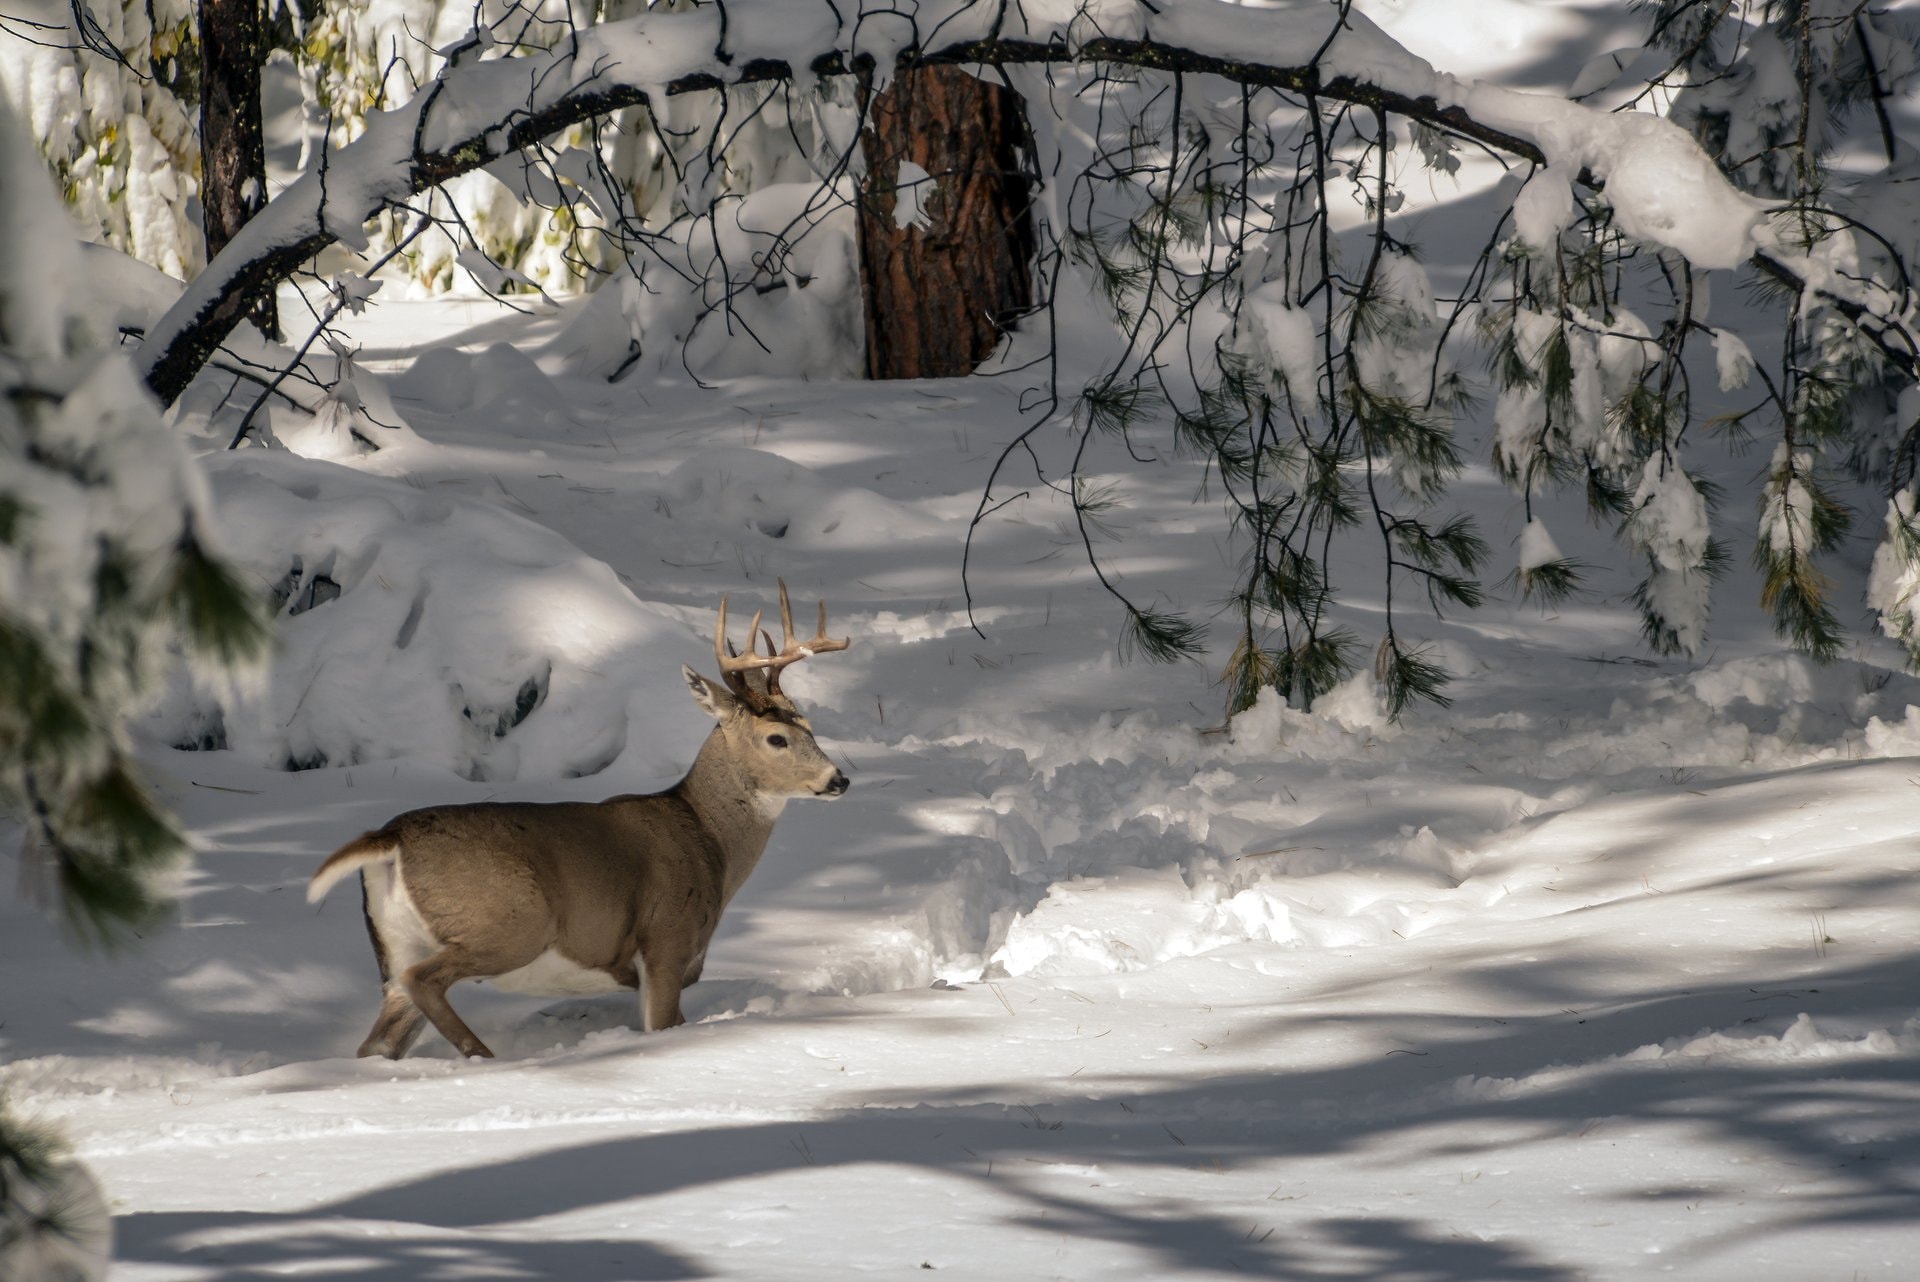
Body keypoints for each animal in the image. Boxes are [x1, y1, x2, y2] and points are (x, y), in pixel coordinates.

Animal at [307, 583, 848, 1059]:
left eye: (810, 726)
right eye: (776, 738)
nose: (838, 778)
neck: (707, 840)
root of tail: (389, 838)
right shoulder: (666, 941)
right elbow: (661, 1026)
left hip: (396, 943)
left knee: (379, 1040)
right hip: (508, 920)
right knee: (424, 983)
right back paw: (484, 1057)